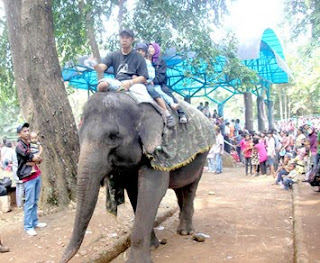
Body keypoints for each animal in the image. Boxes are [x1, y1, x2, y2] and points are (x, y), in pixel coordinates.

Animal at [61, 91, 214, 263]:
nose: (62, 259)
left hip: (202, 157)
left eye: (113, 137)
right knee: (179, 188)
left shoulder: (158, 151)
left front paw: (138, 260)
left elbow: (152, 191)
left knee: (190, 187)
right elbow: (135, 192)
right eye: (80, 135)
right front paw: (153, 246)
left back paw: (185, 232)